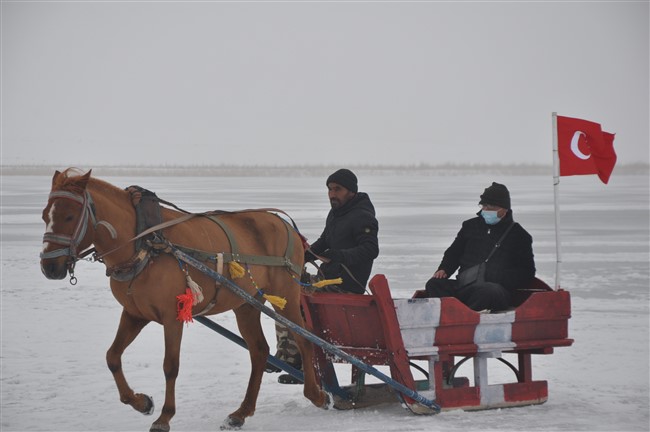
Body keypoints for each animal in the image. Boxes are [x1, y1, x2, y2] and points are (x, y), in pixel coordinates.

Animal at [39, 169, 330, 432]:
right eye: (44, 215)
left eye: (69, 216)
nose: (49, 267)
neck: (144, 242)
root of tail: (284, 223)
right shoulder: (135, 313)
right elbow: (112, 356)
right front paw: (142, 402)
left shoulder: (173, 315)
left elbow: (171, 366)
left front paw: (164, 417)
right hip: (247, 303)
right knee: (259, 351)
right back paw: (241, 413)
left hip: (286, 295)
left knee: (304, 338)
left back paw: (317, 395)